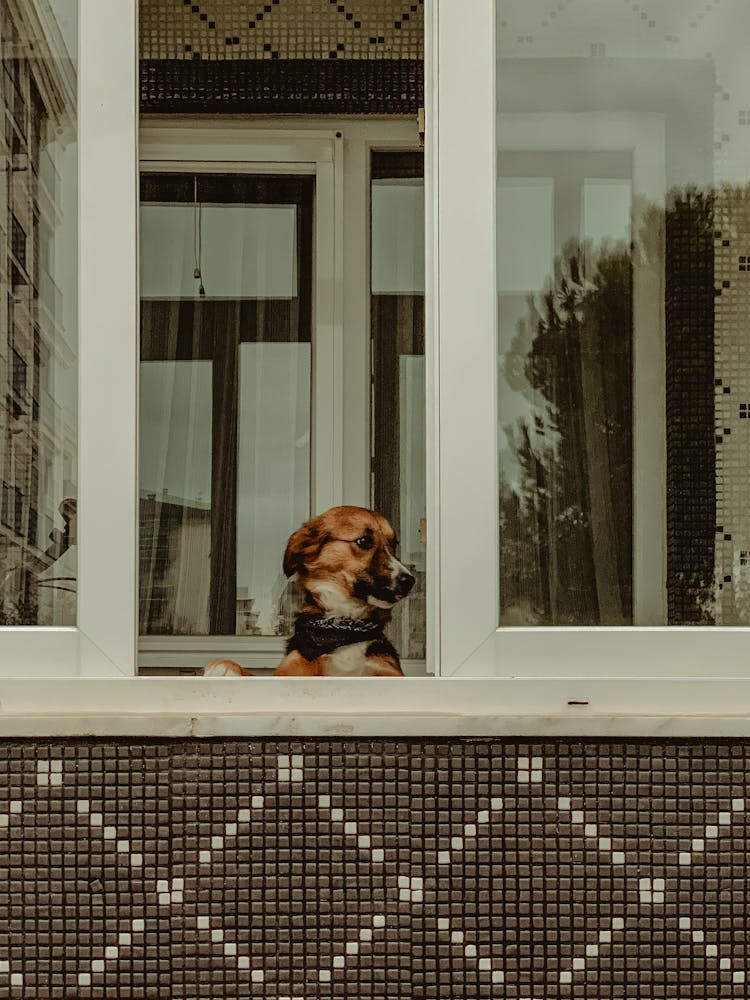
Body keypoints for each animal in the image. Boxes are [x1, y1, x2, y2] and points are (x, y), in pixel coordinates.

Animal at [204, 508, 418, 680]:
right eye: (364, 541)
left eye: (394, 544)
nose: (409, 581)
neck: (344, 625)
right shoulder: (291, 670)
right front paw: (226, 666)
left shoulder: (387, 672)